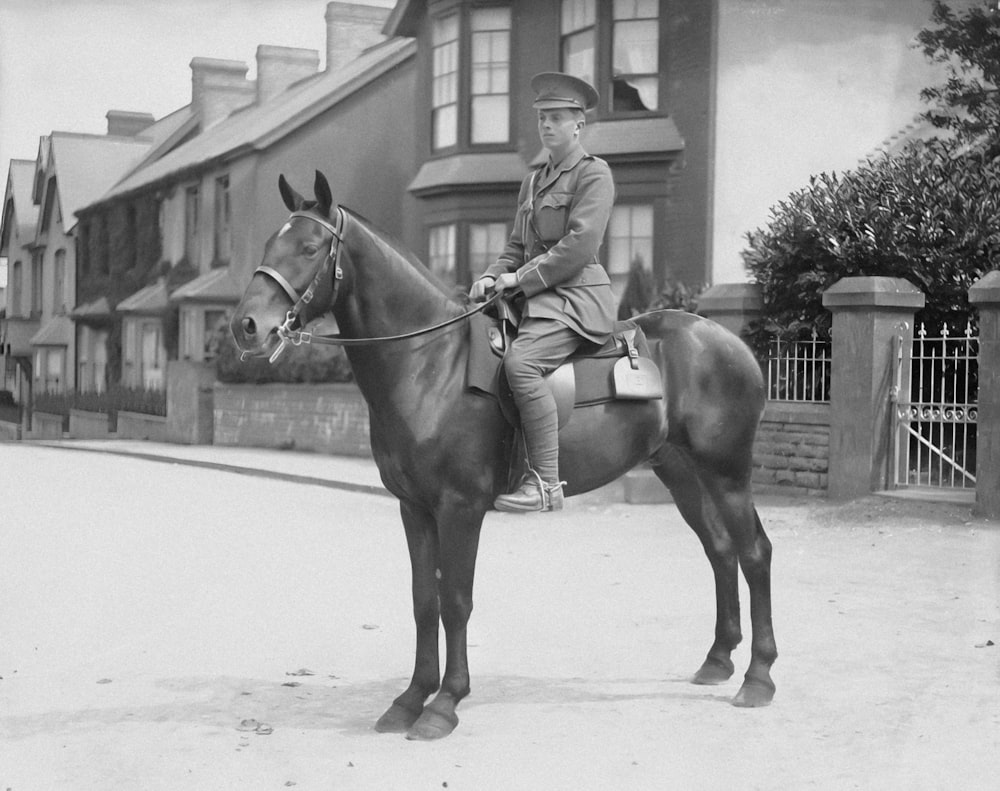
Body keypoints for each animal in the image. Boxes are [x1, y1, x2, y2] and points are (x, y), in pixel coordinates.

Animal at [230, 172, 776, 744]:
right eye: (269, 244)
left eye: (309, 248)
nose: (246, 326)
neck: (430, 363)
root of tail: (726, 341)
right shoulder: (414, 508)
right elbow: (424, 600)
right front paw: (410, 698)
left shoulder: (460, 507)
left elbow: (455, 601)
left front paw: (445, 703)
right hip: (680, 472)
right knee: (720, 550)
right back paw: (718, 659)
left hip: (728, 473)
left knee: (754, 553)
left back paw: (758, 677)